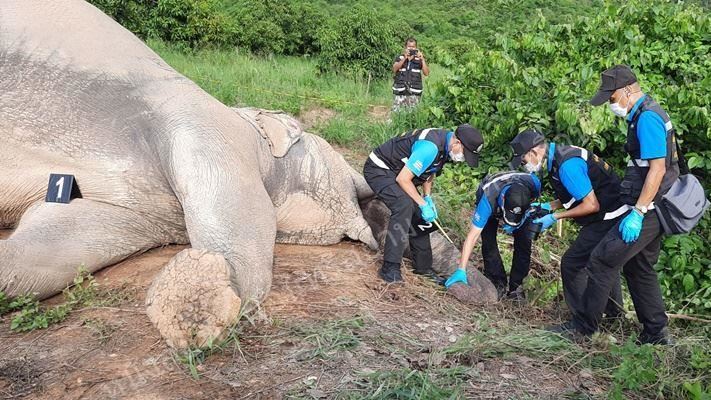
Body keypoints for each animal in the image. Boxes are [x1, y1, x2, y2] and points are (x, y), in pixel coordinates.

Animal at [0, 0, 495, 348]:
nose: (486, 291)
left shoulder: (141, 213)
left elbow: (48, 251)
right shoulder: (207, 125)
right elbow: (249, 216)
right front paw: (197, 303)